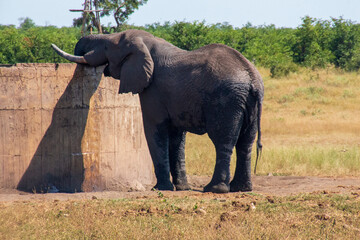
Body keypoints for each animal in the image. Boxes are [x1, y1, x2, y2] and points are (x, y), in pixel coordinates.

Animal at [51, 29, 264, 193]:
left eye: (107, 47)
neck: (147, 42)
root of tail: (252, 77)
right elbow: (177, 137)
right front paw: (182, 188)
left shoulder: (153, 89)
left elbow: (154, 129)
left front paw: (160, 189)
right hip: (247, 102)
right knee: (246, 142)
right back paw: (241, 189)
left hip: (226, 101)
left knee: (223, 140)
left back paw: (214, 189)